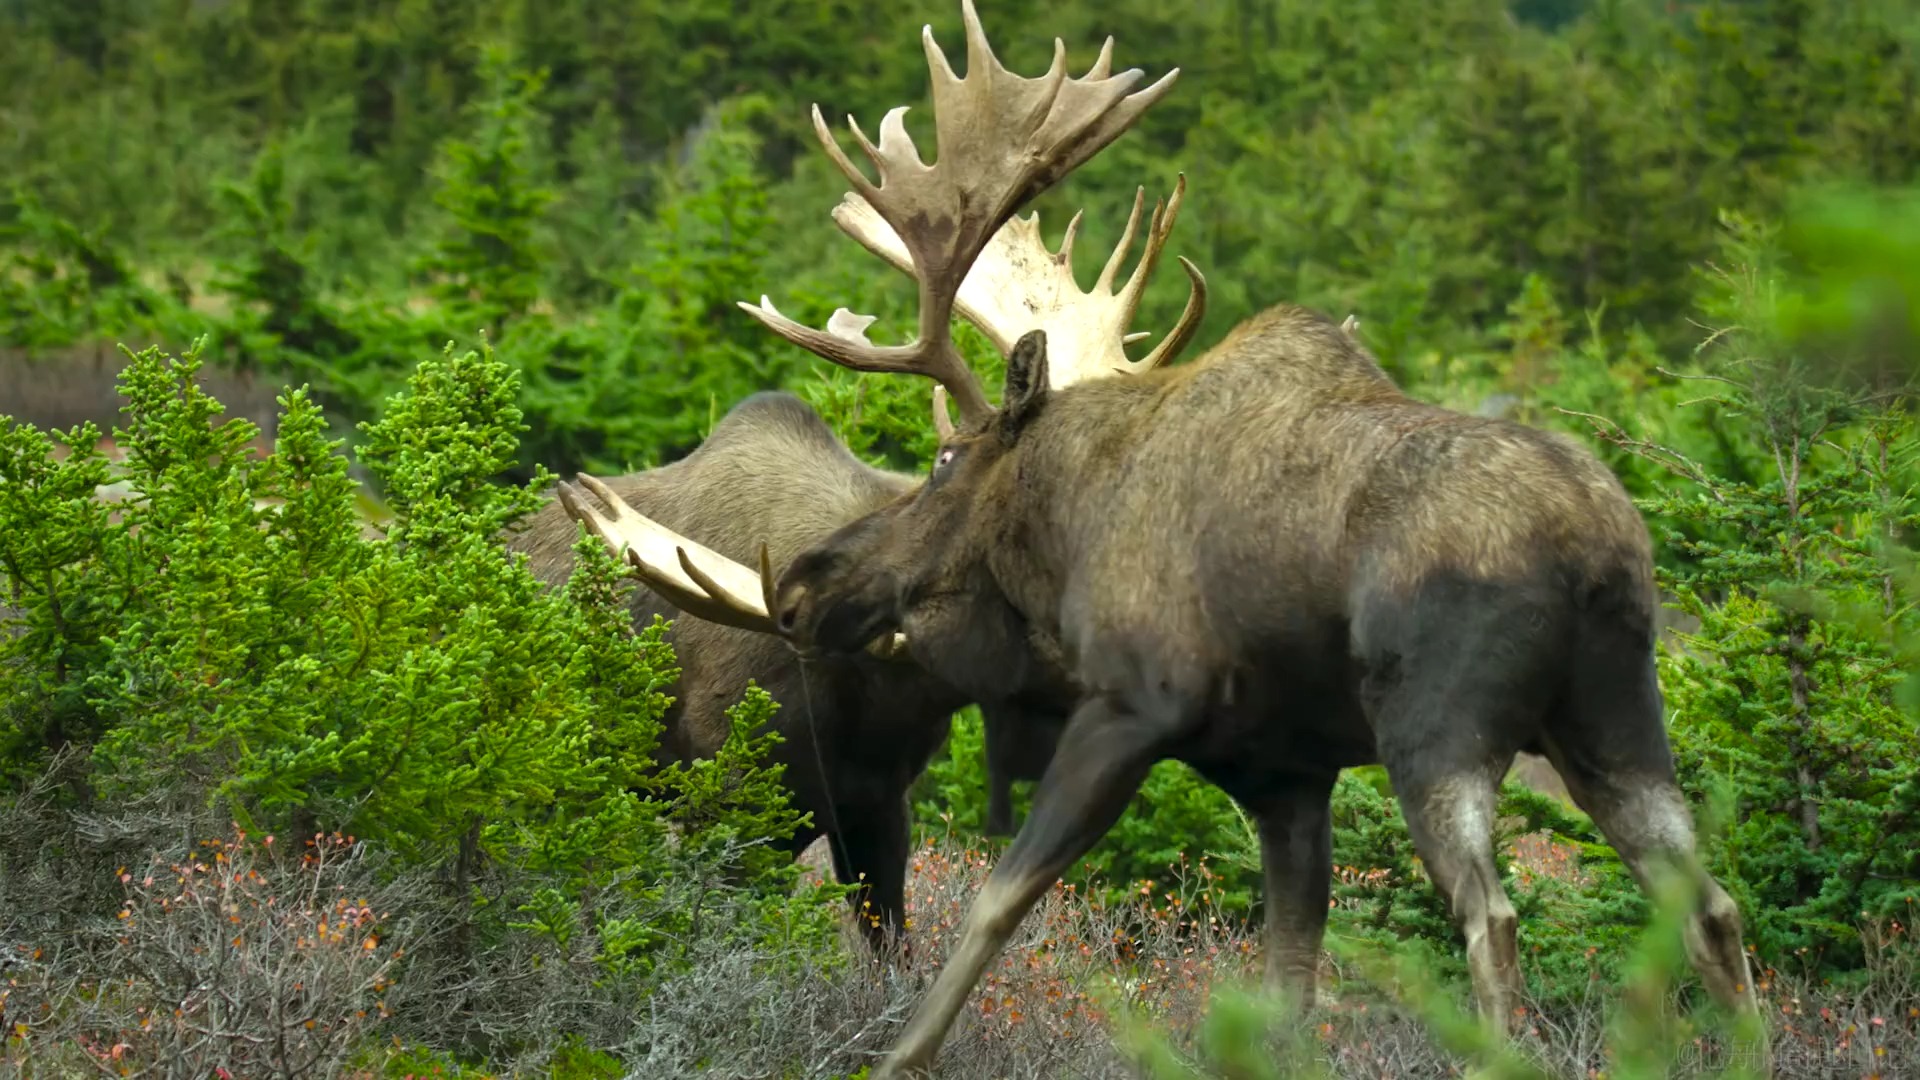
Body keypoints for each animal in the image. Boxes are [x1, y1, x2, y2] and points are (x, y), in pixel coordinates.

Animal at [560, 4, 1758, 1068]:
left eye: (944, 462)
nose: (809, 578)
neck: (1073, 516)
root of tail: (1590, 551)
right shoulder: (1287, 777)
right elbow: (1288, 980)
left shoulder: (1133, 705)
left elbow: (995, 901)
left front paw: (898, 1055)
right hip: (1617, 721)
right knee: (1711, 907)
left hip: (1441, 730)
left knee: (1495, 922)